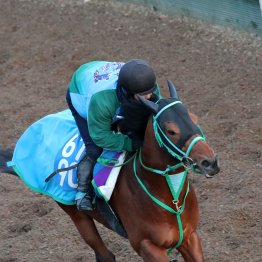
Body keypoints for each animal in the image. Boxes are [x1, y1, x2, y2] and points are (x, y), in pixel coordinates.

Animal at [0, 81, 219, 260]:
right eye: (171, 131)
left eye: (195, 118)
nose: (210, 161)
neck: (171, 197)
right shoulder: (147, 246)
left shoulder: (190, 237)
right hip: (77, 215)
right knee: (104, 254)